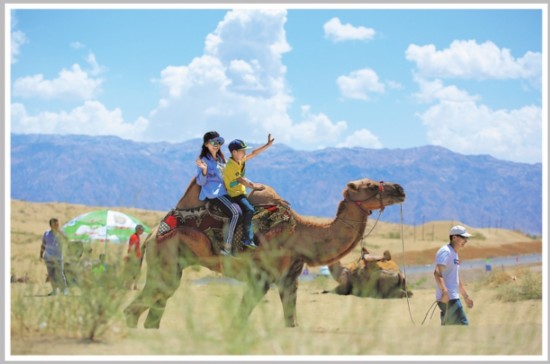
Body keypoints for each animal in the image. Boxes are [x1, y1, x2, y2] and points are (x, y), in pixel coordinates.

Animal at [127, 176, 408, 328]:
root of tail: (151, 236)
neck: (301, 232)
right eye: (370, 185)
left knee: (157, 304)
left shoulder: (289, 277)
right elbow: (241, 317)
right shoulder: (260, 275)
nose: (400, 189)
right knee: (149, 299)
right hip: (165, 255)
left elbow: (291, 319)